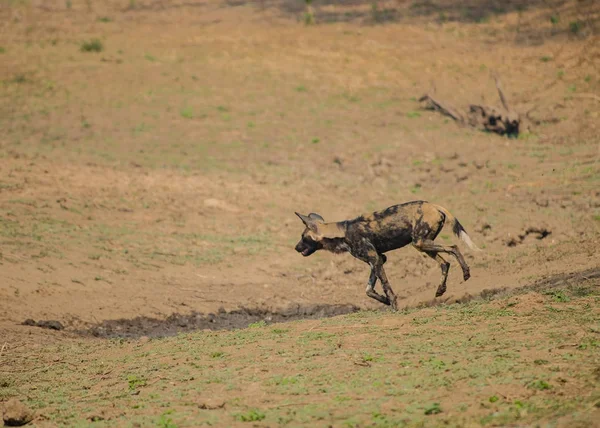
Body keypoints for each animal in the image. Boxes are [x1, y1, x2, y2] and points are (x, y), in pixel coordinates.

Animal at [292, 201, 480, 310]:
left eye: (303, 237)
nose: (295, 247)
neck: (342, 233)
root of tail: (433, 205)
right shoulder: (378, 259)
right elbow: (369, 290)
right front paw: (385, 301)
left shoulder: (375, 259)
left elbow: (386, 286)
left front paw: (394, 306)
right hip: (423, 245)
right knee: (444, 263)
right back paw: (441, 289)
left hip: (419, 243)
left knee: (454, 247)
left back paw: (466, 273)